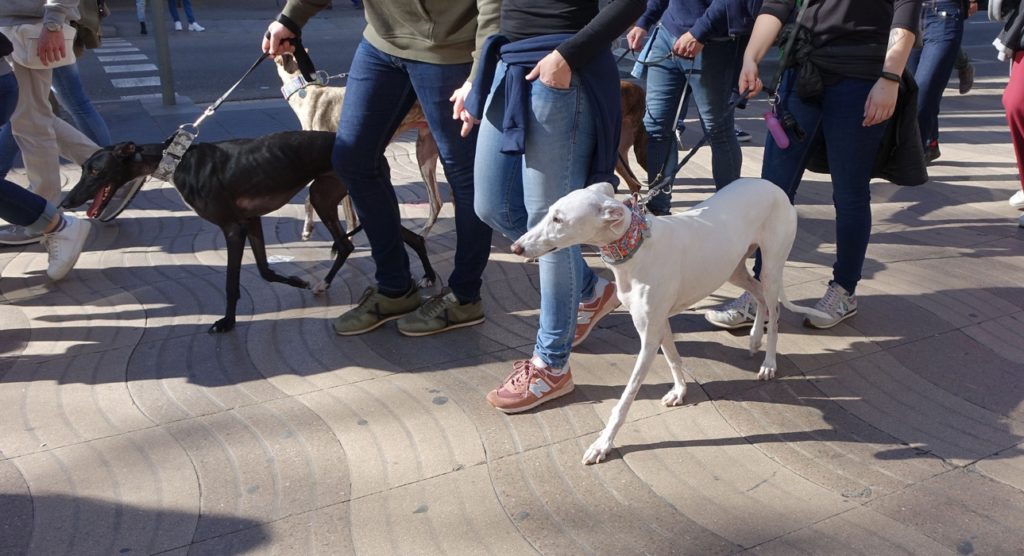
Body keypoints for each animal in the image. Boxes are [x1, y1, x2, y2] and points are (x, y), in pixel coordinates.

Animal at [62, 130, 437, 333]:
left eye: (95, 170)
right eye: (82, 169)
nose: (66, 201)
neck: (178, 159)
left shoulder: (232, 229)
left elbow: (232, 283)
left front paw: (227, 322)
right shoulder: (251, 220)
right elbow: (265, 270)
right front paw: (296, 280)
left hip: (356, 199)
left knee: (400, 238)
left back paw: (429, 277)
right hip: (324, 196)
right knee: (351, 245)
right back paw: (324, 283)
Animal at [274, 52, 443, 239]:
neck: (308, 93)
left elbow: (350, 218)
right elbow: (309, 198)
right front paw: (307, 228)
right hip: (425, 151)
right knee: (437, 202)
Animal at [510, 179, 830, 465]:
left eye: (558, 219)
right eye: (550, 212)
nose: (516, 247)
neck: (638, 248)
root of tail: (775, 187)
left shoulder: (648, 337)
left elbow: (626, 398)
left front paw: (603, 444)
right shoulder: (658, 322)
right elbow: (674, 357)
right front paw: (679, 392)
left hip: (772, 267)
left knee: (774, 312)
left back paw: (769, 363)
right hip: (734, 269)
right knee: (760, 296)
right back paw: (753, 338)